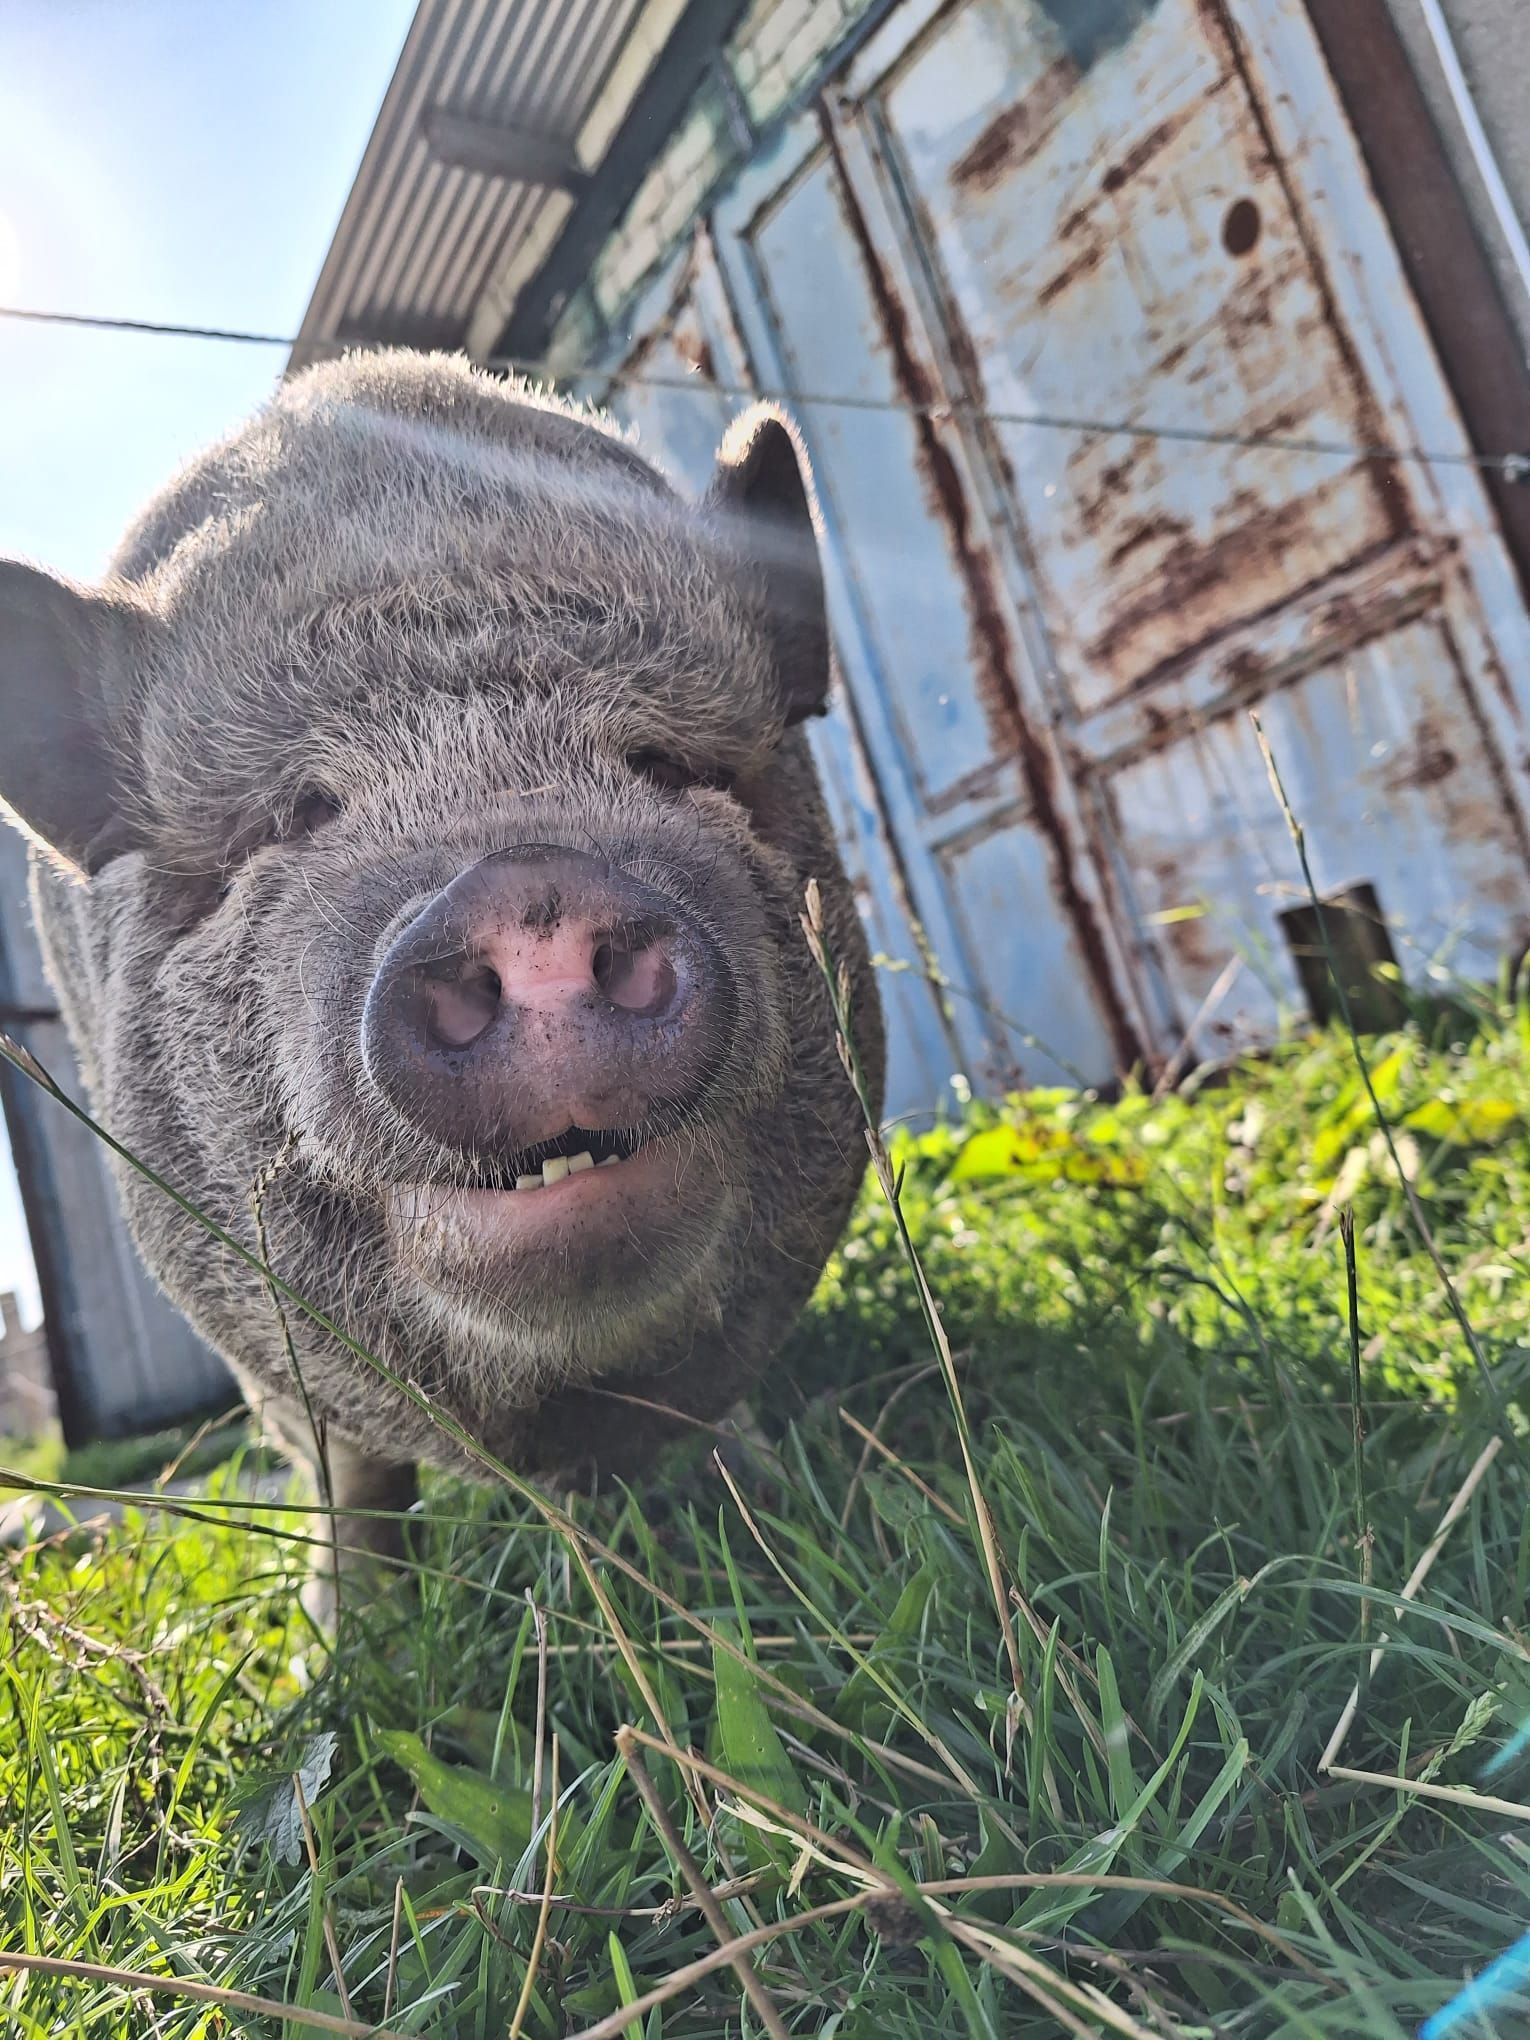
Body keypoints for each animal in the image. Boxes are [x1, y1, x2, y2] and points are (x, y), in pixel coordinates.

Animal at [0, 349, 883, 1613]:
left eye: (662, 760)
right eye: (302, 811)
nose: (527, 882)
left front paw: (769, 1515)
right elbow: (350, 1477)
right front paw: (352, 1633)